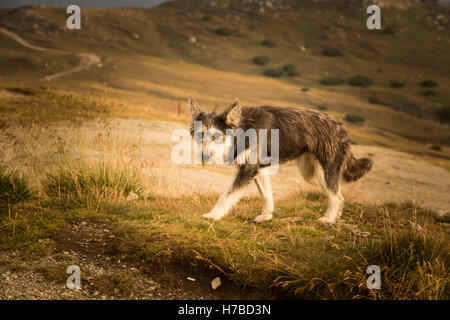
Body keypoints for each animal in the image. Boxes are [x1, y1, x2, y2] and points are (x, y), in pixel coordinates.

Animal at [188, 96, 374, 224]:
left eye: (216, 137)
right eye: (200, 135)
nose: (204, 156)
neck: (242, 129)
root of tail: (339, 125)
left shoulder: (248, 170)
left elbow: (227, 195)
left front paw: (213, 215)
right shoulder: (258, 170)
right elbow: (266, 195)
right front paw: (266, 216)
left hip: (325, 171)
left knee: (336, 195)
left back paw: (328, 219)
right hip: (311, 173)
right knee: (336, 193)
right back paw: (335, 216)